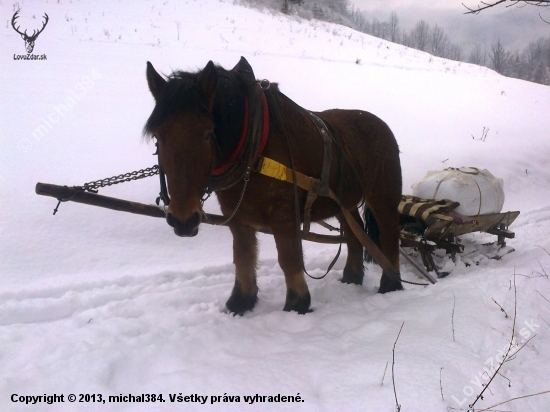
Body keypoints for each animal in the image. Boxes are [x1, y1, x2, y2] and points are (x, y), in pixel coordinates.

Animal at [144, 56, 404, 314]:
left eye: (208, 134)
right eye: (158, 135)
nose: (183, 220)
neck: (254, 145)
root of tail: (381, 125)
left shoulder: (285, 217)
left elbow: (289, 260)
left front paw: (297, 304)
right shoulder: (238, 219)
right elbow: (244, 256)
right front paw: (241, 302)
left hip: (383, 198)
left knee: (389, 235)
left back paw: (390, 284)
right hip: (343, 203)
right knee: (354, 235)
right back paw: (351, 278)